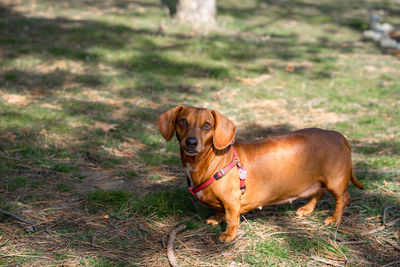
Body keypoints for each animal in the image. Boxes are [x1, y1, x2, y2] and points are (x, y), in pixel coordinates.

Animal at [158, 105, 364, 243]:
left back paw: (334, 220)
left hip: (335, 181)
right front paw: (215, 218)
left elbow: (231, 219)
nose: (191, 142)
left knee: (343, 198)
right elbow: (219, 210)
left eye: (207, 125)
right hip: (316, 181)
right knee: (318, 192)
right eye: (182, 121)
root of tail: (339, 136)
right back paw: (306, 209)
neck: (205, 163)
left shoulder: (232, 201)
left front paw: (228, 235)